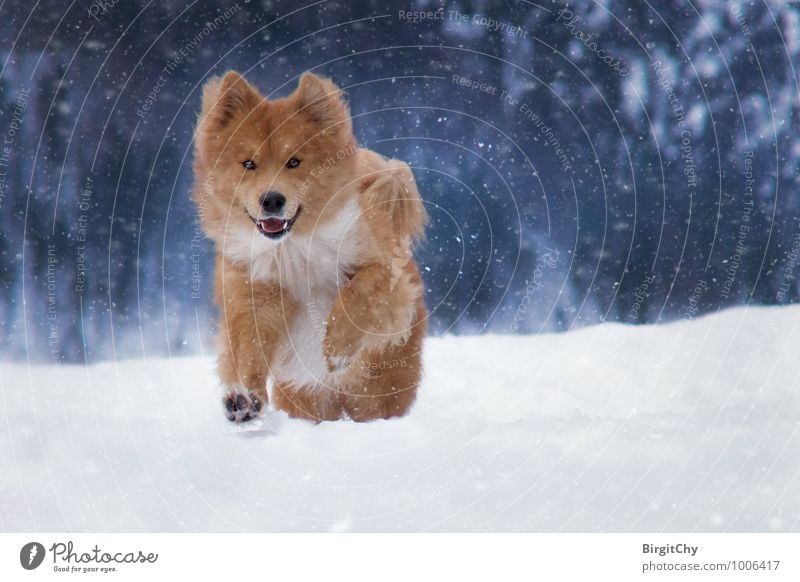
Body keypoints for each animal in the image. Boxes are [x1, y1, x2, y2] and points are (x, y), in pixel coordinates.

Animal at [191, 70, 428, 424]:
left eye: (294, 162)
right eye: (248, 164)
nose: (271, 199)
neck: (293, 247)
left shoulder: (385, 270)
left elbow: (358, 292)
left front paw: (336, 350)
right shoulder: (253, 292)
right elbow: (248, 348)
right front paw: (244, 399)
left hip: (377, 391)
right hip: (305, 398)